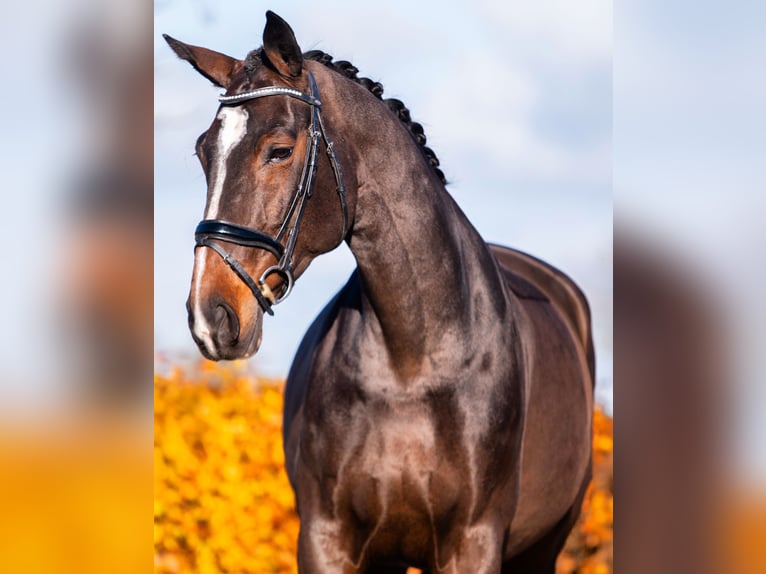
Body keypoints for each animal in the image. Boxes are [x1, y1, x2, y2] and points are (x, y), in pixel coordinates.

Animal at [165, 11, 596, 572]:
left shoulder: (474, 542)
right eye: (203, 153)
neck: (412, 361)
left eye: (279, 150)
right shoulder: (327, 540)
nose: (211, 317)